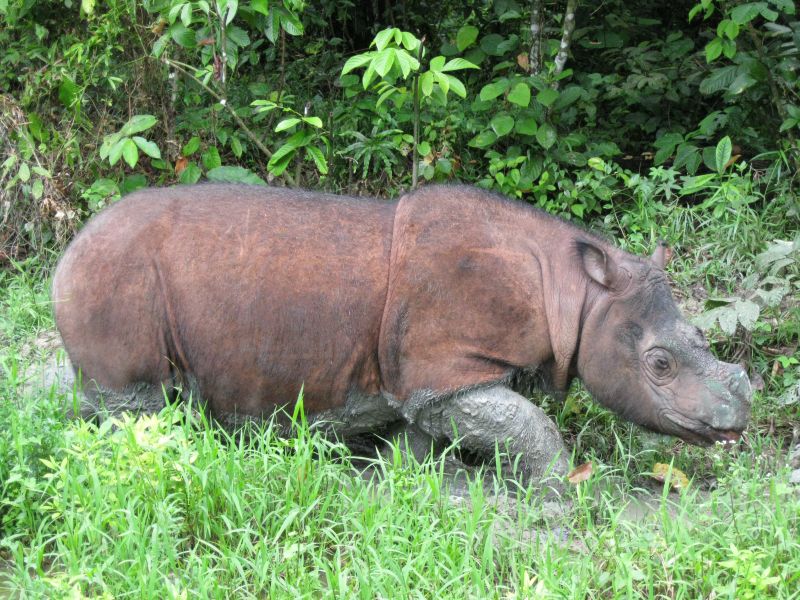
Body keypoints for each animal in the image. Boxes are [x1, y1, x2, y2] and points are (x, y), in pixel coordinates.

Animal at [52, 184, 751, 482]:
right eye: (658, 364)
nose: (737, 421)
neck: (573, 291)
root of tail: (66, 251)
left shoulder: (430, 377)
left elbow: (423, 435)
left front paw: (406, 484)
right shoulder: (452, 368)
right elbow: (533, 428)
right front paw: (560, 498)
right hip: (115, 277)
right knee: (138, 404)